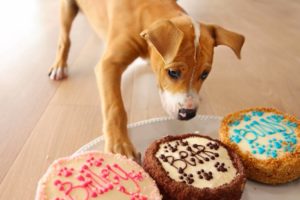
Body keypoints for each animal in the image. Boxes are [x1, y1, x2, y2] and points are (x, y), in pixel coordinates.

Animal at [48, 0, 244, 159]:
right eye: (172, 72)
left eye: (205, 74)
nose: (188, 114)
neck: (145, 11)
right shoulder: (109, 64)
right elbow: (115, 107)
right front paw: (120, 145)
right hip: (67, 8)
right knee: (64, 38)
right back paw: (59, 65)